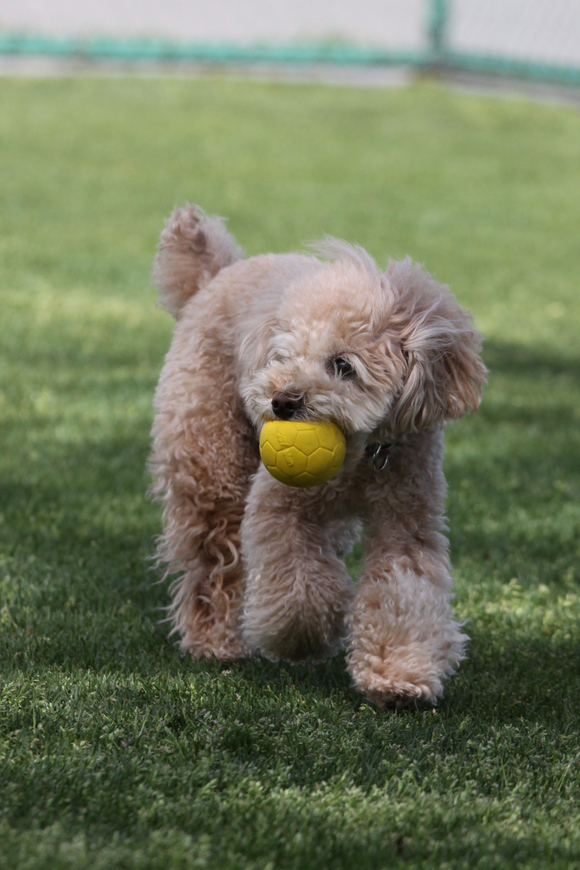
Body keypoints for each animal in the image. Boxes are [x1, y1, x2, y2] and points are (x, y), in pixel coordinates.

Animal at [150, 204, 484, 708]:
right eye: (283, 356)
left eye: (343, 365)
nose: (282, 402)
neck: (363, 455)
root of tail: (217, 273)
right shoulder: (278, 507)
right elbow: (299, 585)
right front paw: (307, 637)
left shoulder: (408, 518)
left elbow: (402, 589)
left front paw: (398, 675)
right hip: (209, 461)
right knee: (213, 558)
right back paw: (214, 643)